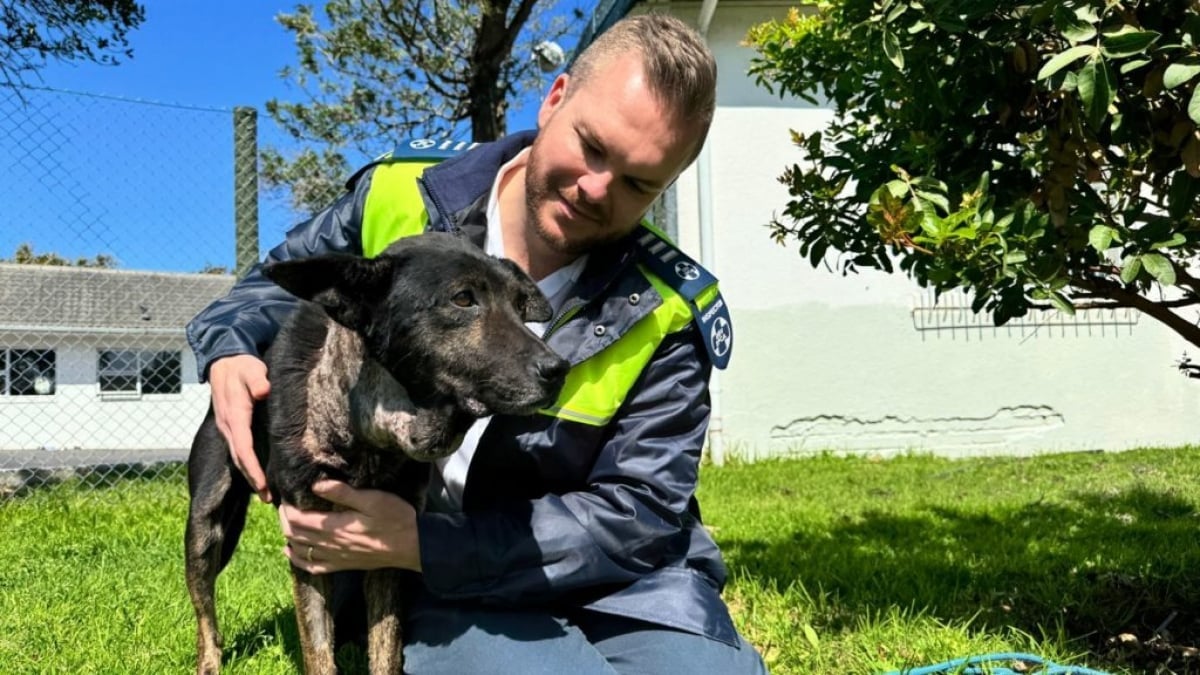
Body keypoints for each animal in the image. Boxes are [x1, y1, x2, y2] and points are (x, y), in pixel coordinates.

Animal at [183, 233, 566, 672]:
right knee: (205, 613)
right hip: (205, 526)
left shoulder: (389, 547)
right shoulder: (305, 542)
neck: (370, 435)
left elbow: (386, 644)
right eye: (463, 299)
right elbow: (319, 651)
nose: (559, 370)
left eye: (520, 306)